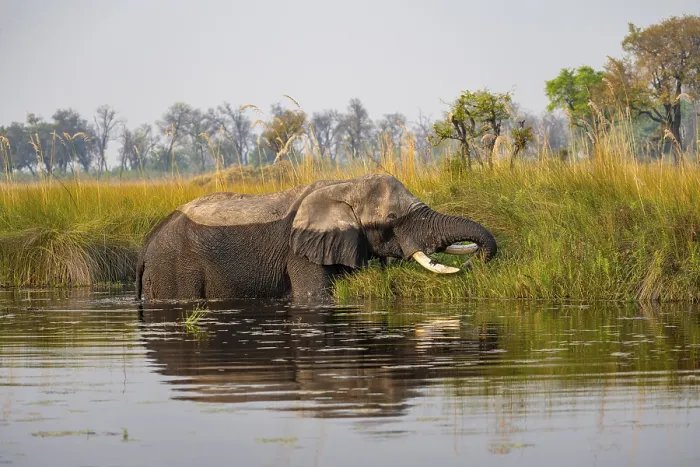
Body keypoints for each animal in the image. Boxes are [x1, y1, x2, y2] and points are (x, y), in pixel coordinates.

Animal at [136, 173, 497, 302]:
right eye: (392, 220)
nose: (474, 264)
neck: (345, 185)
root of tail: (146, 245)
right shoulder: (300, 252)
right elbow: (315, 297)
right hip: (173, 269)